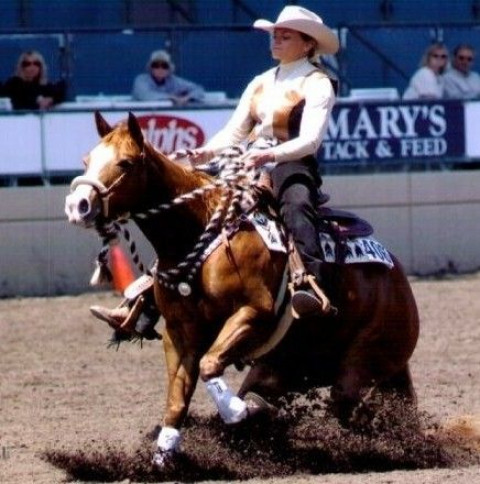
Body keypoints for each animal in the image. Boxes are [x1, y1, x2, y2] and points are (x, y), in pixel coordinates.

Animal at [65, 111, 418, 466]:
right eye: (86, 160)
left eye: (124, 162)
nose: (77, 205)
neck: (199, 233)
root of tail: (397, 276)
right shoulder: (178, 334)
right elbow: (177, 399)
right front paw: (162, 459)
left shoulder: (252, 313)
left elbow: (210, 365)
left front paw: (237, 410)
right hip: (285, 367)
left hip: (364, 361)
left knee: (353, 406)